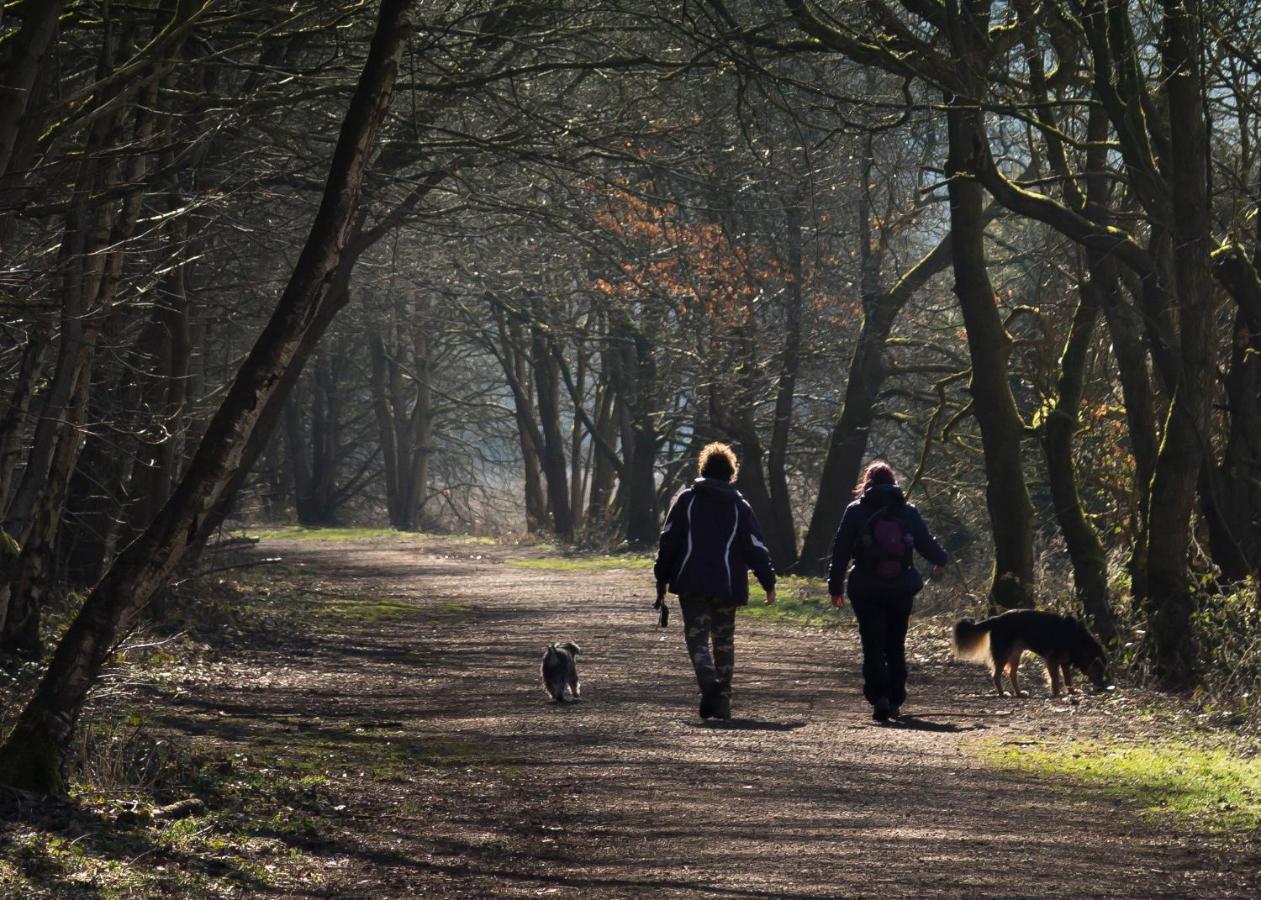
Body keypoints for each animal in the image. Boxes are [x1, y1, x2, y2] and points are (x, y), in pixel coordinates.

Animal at [948, 607, 1109, 695]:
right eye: (1099, 671)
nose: (1102, 687)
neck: (1078, 639)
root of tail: (996, 619)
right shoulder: (1052, 660)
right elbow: (1055, 679)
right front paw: (1056, 693)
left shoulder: (1064, 662)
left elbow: (1068, 680)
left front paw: (1071, 693)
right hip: (1004, 654)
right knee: (996, 675)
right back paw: (1002, 693)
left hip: (1015, 654)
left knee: (1012, 674)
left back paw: (1019, 693)